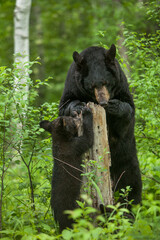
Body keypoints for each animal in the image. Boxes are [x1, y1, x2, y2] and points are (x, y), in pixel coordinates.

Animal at [59, 44, 142, 207]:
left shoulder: (121, 84)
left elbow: (128, 112)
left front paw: (116, 107)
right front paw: (77, 106)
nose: (103, 102)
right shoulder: (72, 84)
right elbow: (65, 105)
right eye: (91, 86)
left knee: (131, 181)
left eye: (106, 83)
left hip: (126, 156)